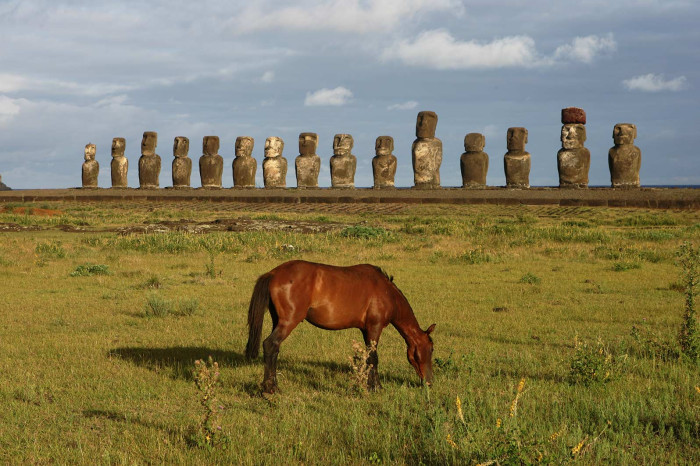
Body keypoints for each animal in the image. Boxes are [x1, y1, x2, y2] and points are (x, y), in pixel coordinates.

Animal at [243, 260, 434, 392]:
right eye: (431, 349)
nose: (429, 381)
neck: (386, 292)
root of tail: (273, 273)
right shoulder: (375, 327)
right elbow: (374, 358)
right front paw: (377, 387)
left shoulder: (366, 330)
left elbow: (367, 358)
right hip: (288, 322)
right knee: (270, 345)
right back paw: (271, 388)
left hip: (277, 320)